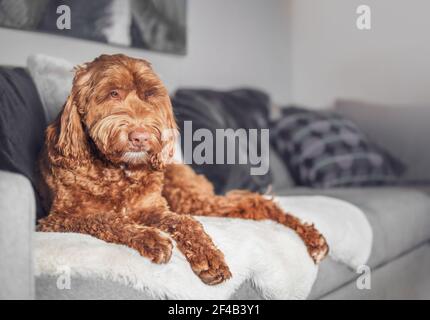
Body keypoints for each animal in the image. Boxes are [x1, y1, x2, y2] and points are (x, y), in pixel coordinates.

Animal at [37, 53, 328, 284]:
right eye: (113, 93)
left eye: (149, 95)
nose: (141, 137)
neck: (118, 172)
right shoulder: (57, 219)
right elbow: (106, 219)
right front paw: (150, 238)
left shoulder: (153, 208)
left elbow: (185, 222)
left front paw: (208, 255)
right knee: (253, 203)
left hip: (187, 196)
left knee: (257, 202)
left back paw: (312, 237)